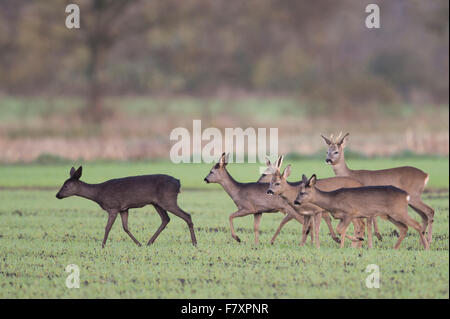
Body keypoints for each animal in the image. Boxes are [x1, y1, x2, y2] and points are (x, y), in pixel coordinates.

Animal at [56, 166, 197, 249]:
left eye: (66, 186)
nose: (57, 195)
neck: (98, 194)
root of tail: (178, 182)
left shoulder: (113, 207)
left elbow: (107, 227)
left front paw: (102, 246)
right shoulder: (124, 208)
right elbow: (125, 227)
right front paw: (138, 243)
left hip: (168, 200)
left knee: (187, 215)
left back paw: (195, 243)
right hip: (157, 203)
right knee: (166, 219)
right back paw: (149, 242)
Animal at [296, 175, 428, 250]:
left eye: (302, 193)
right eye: (298, 192)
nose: (295, 201)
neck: (332, 200)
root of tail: (406, 195)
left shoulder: (350, 212)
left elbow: (341, 230)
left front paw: (354, 241)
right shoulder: (343, 217)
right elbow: (340, 229)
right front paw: (353, 242)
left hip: (399, 211)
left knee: (417, 225)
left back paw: (426, 247)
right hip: (390, 215)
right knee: (404, 228)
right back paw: (395, 248)